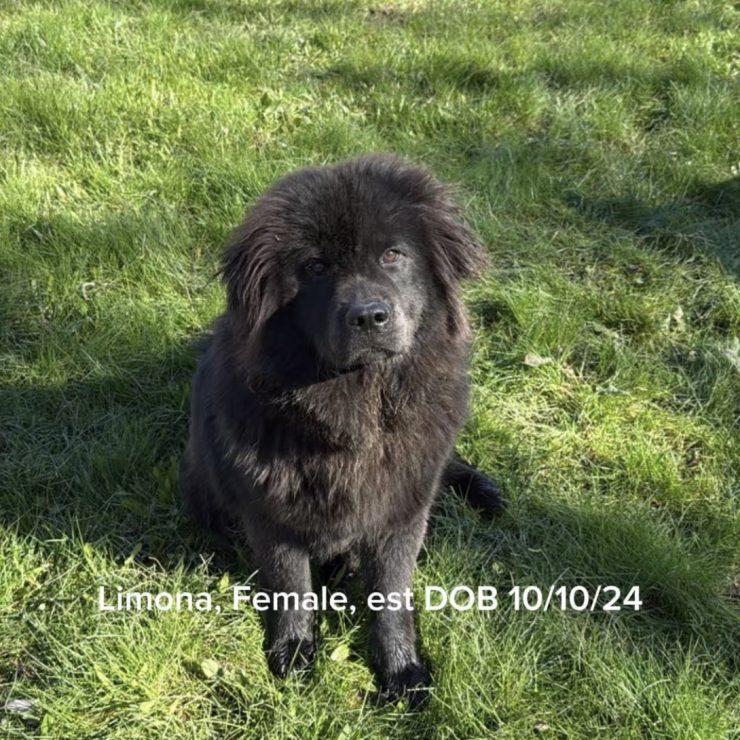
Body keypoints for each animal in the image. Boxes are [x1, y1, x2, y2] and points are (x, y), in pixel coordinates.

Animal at [180, 154, 502, 705]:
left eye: (392, 255)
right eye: (314, 268)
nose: (369, 316)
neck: (357, 414)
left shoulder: (401, 513)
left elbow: (391, 597)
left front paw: (402, 670)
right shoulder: (272, 515)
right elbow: (291, 587)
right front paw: (292, 652)